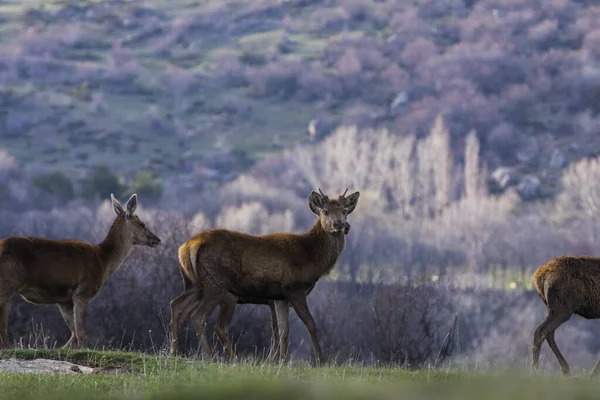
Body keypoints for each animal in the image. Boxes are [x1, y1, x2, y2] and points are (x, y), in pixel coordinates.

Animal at [0, 195, 161, 350]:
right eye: (142, 224)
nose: (157, 239)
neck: (103, 261)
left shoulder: (64, 300)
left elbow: (73, 332)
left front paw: (62, 349)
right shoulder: (83, 291)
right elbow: (81, 331)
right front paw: (81, 350)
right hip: (8, 284)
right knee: (3, 324)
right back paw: (10, 348)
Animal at [169, 188, 358, 366]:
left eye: (344, 211)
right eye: (325, 211)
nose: (340, 224)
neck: (312, 258)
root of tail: (187, 247)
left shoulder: (280, 297)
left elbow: (283, 330)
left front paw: (282, 362)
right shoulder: (294, 288)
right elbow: (310, 323)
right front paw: (319, 361)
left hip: (195, 284)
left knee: (176, 305)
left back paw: (175, 352)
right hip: (216, 284)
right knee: (200, 317)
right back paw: (212, 357)